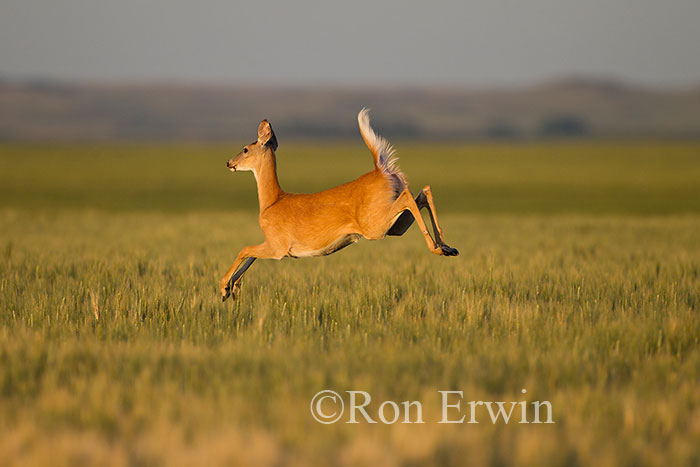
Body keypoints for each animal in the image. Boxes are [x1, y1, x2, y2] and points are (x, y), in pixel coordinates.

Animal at [220, 108, 460, 302]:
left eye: (245, 149)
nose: (229, 162)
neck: (272, 201)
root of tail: (382, 170)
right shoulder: (272, 244)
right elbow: (250, 256)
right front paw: (234, 289)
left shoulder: (277, 246)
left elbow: (244, 250)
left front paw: (224, 288)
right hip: (395, 226)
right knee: (423, 192)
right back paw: (448, 247)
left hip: (375, 225)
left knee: (410, 196)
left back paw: (439, 249)